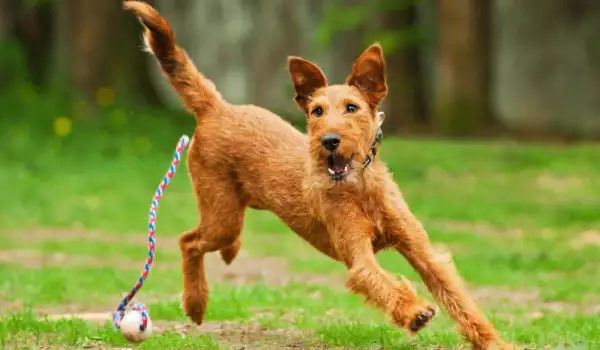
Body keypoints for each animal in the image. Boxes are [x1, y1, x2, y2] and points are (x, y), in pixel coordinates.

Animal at [124, 2, 512, 348]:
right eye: (317, 111)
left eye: (352, 108)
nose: (328, 141)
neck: (361, 188)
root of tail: (218, 107)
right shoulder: (358, 256)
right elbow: (380, 281)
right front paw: (414, 311)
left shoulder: (422, 251)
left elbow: (459, 299)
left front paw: (493, 342)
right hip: (221, 214)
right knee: (188, 240)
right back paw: (196, 302)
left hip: (230, 212)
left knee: (208, 238)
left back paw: (226, 259)